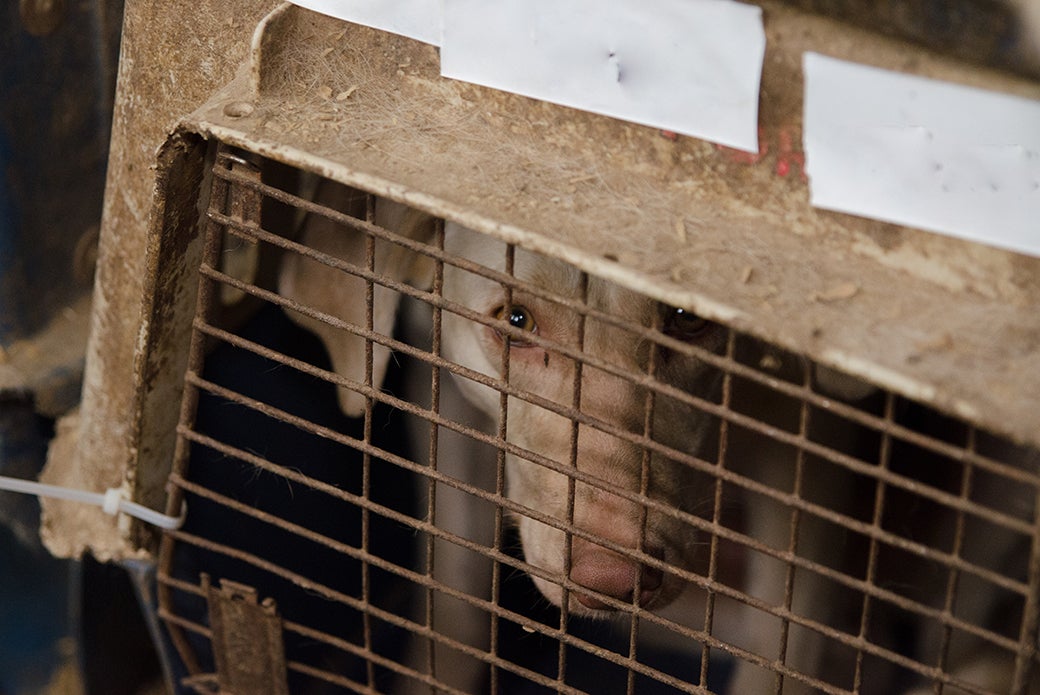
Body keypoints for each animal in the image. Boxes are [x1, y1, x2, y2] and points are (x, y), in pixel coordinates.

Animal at [278, 180, 1037, 694]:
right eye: (515, 320)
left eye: (689, 319)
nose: (614, 580)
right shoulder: (446, 410)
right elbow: (454, 593)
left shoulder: (804, 463)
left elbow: (781, 643)